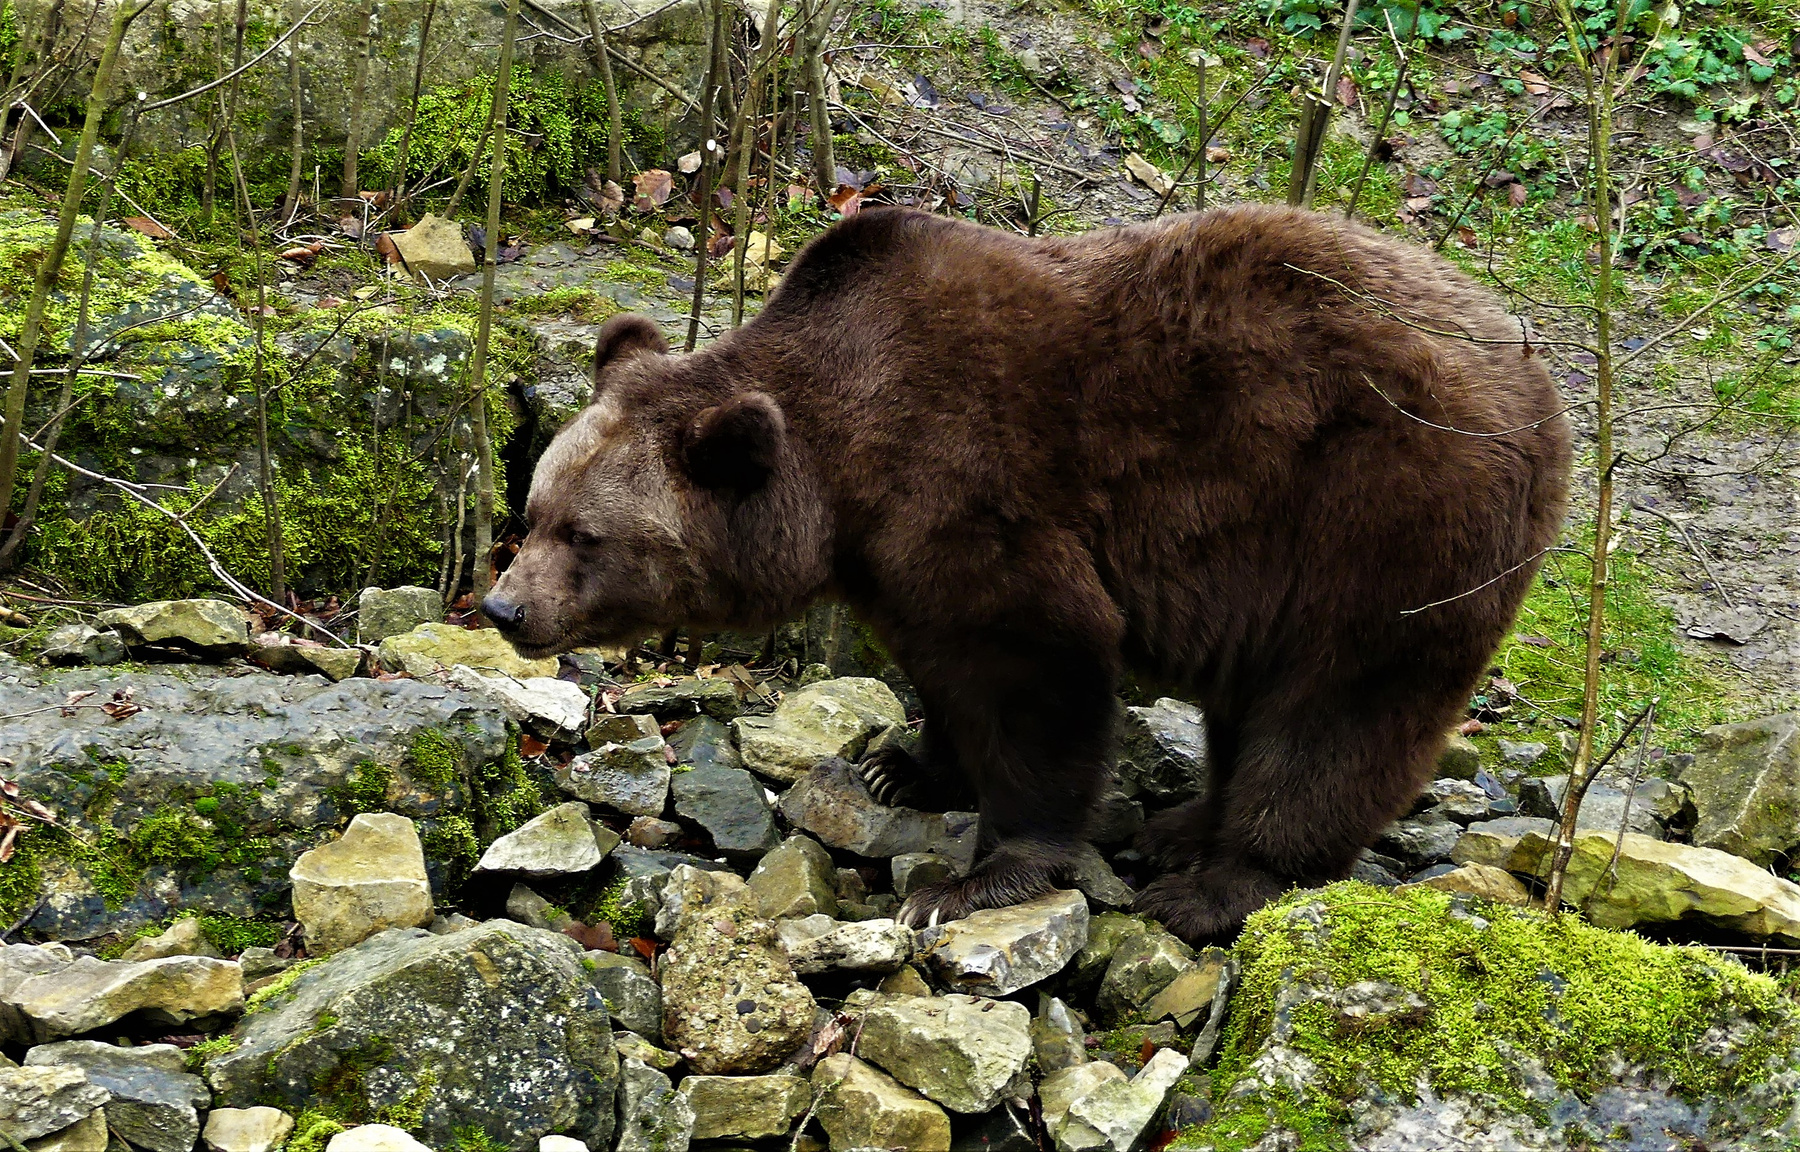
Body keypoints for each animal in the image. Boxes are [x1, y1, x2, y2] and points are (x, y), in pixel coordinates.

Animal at [483, 203, 1572, 944]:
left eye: (585, 536)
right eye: (532, 512)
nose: (504, 606)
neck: (845, 468)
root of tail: (1535, 372)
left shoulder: (977, 485)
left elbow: (1037, 669)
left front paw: (970, 879)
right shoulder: (892, 562)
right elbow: (941, 669)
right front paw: (902, 764)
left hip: (1381, 516)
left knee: (1336, 707)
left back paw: (1212, 883)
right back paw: (1184, 825)